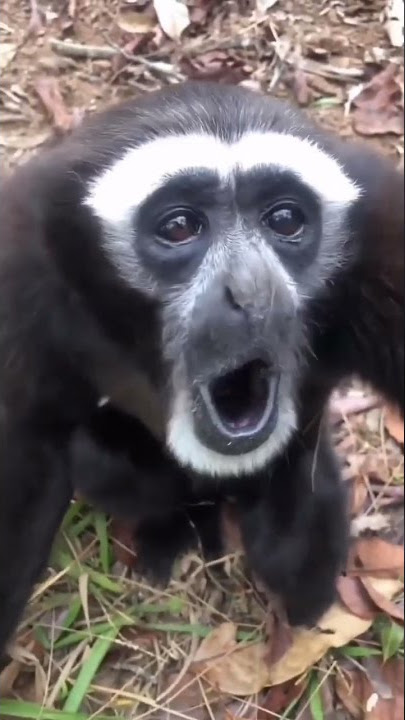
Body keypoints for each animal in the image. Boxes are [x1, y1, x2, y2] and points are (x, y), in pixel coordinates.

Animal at [0, 81, 403, 659]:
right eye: (180, 227)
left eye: (284, 221)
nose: (251, 292)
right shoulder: (25, 262)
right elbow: (29, 457)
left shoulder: (381, 233)